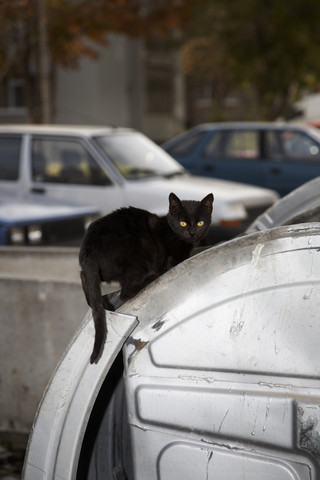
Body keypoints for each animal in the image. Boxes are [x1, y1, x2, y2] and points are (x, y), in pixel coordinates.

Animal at [79, 193, 214, 362]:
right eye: (182, 223)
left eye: (200, 223)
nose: (192, 233)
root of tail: (90, 247)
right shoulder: (170, 258)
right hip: (137, 249)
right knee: (126, 293)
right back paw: (151, 277)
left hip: (103, 271)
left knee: (84, 275)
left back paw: (99, 302)